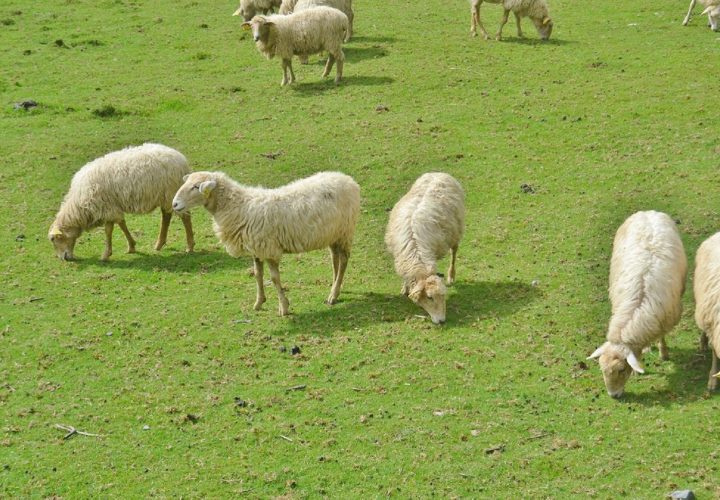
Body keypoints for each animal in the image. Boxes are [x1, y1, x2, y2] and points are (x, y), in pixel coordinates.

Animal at [48, 143, 195, 261]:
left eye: (54, 239)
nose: (64, 259)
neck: (79, 207)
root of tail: (181, 159)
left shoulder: (106, 207)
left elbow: (109, 230)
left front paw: (106, 255)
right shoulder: (111, 207)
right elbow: (121, 224)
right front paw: (131, 246)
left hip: (171, 192)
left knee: (185, 217)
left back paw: (190, 246)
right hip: (165, 196)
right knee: (166, 216)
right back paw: (159, 244)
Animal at [171, 171, 360, 316]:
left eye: (196, 187)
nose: (174, 204)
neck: (239, 207)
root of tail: (348, 179)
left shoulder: (268, 248)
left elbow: (274, 278)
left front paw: (284, 307)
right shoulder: (256, 249)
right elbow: (258, 274)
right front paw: (259, 302)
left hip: (345, 231)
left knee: (343, 260)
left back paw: (333, 294)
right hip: (333, 234)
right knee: (335, 258)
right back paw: (336, 287)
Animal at [384, 173, 465, 325]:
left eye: (443, 296)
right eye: (429, 297)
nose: (442, 321)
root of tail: (439, 173)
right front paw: (405, 288)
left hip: (456, 232)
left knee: (454, 253)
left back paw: (451, 275)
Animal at [587, 211, 687, 398]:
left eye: (621, 369)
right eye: (602, 369)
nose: (614, 396)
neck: (635, 312)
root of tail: (649, 212)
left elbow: (662, 337)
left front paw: (663, 353)